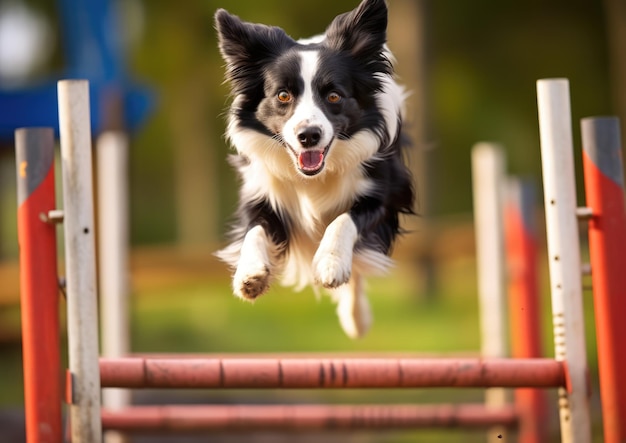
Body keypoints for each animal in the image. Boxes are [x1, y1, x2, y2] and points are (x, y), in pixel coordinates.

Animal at [214, 0, 414, 338]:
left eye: (334, 95)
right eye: (283, 95)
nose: (309, 135)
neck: (313, 176)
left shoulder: (386, 194)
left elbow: (344, 220)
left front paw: (331, 264)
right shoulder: (260, 191)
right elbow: (254, 230)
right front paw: (250, 274)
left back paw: (356, 319)